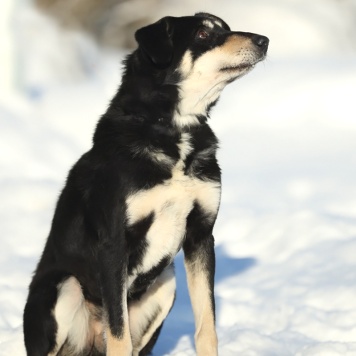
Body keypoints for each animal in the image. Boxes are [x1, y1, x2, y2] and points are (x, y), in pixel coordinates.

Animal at [23, 11, 268, 356]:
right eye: (203, 34)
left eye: (226, 29)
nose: (264, 41)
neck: (173, 130)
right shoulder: (114, 243)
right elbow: (118, 331)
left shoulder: (201, 235)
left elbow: (206, 325)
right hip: (63, 286)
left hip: (165, 283)